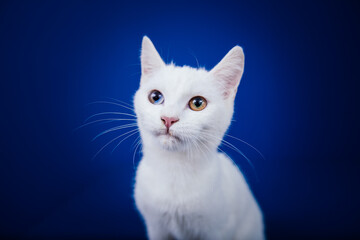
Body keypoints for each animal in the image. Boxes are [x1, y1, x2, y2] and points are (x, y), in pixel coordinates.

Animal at [134, 36, 262, 240]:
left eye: (198, 103)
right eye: (155, 97)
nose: (168, 118)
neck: (174, 170)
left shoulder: (219, 230)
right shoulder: (156, 227)